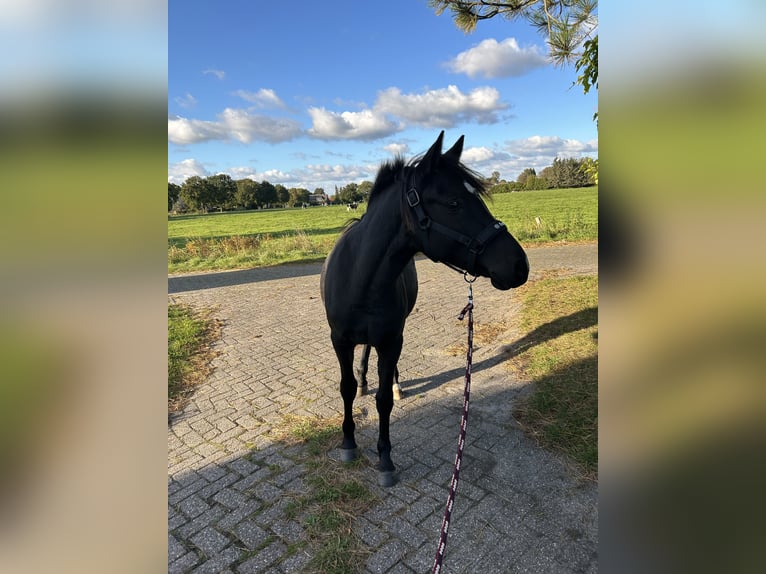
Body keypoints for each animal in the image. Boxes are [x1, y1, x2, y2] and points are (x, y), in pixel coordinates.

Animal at [320, 133, 528, 488]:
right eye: (454, 203)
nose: (519, 265)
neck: (359, 277)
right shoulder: (340, 340)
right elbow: (345, 389)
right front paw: (348, 443)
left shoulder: (392, 340)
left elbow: (384, 401)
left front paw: (385, 460)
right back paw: (364, 381)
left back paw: (393, 383)